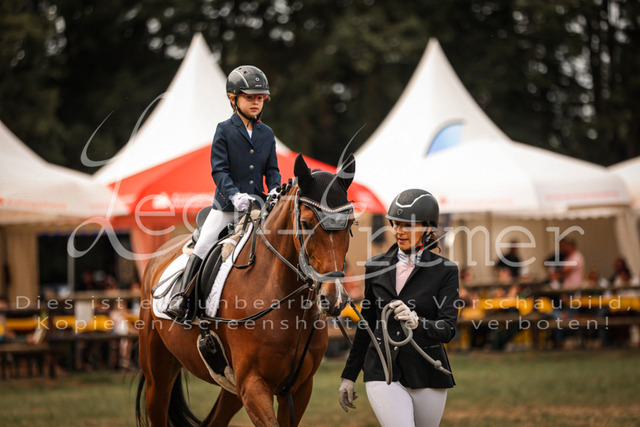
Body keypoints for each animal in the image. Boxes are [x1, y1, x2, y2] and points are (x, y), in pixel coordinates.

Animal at [136, 153, 356, 426]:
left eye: (351, 223)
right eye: (305, 223)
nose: (333, 299)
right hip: (158, 376)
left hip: (230, 388)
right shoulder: (253, 385)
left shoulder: (299, 389)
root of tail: (158, 256)